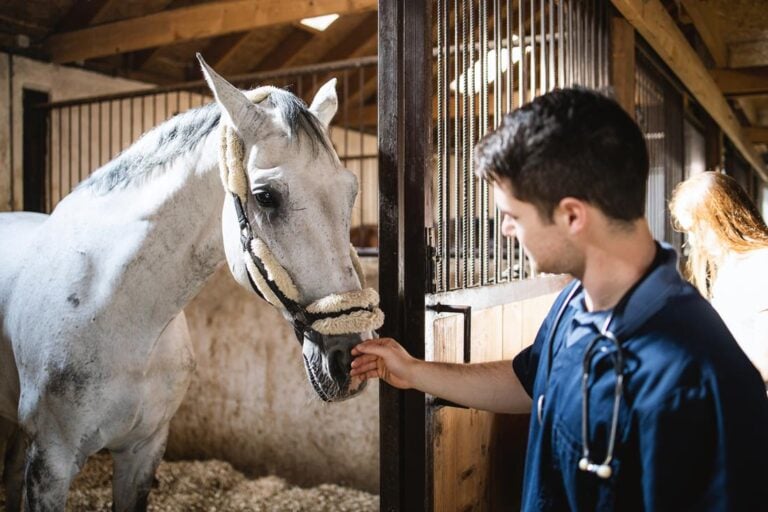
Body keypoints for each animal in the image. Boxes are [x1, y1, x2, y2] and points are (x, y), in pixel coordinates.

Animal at [0, 56, 377, 511]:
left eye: (351, 191)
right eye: (266, 197)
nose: (349, 360)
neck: (117, 316)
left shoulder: (143, 450)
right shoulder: (52, 462)